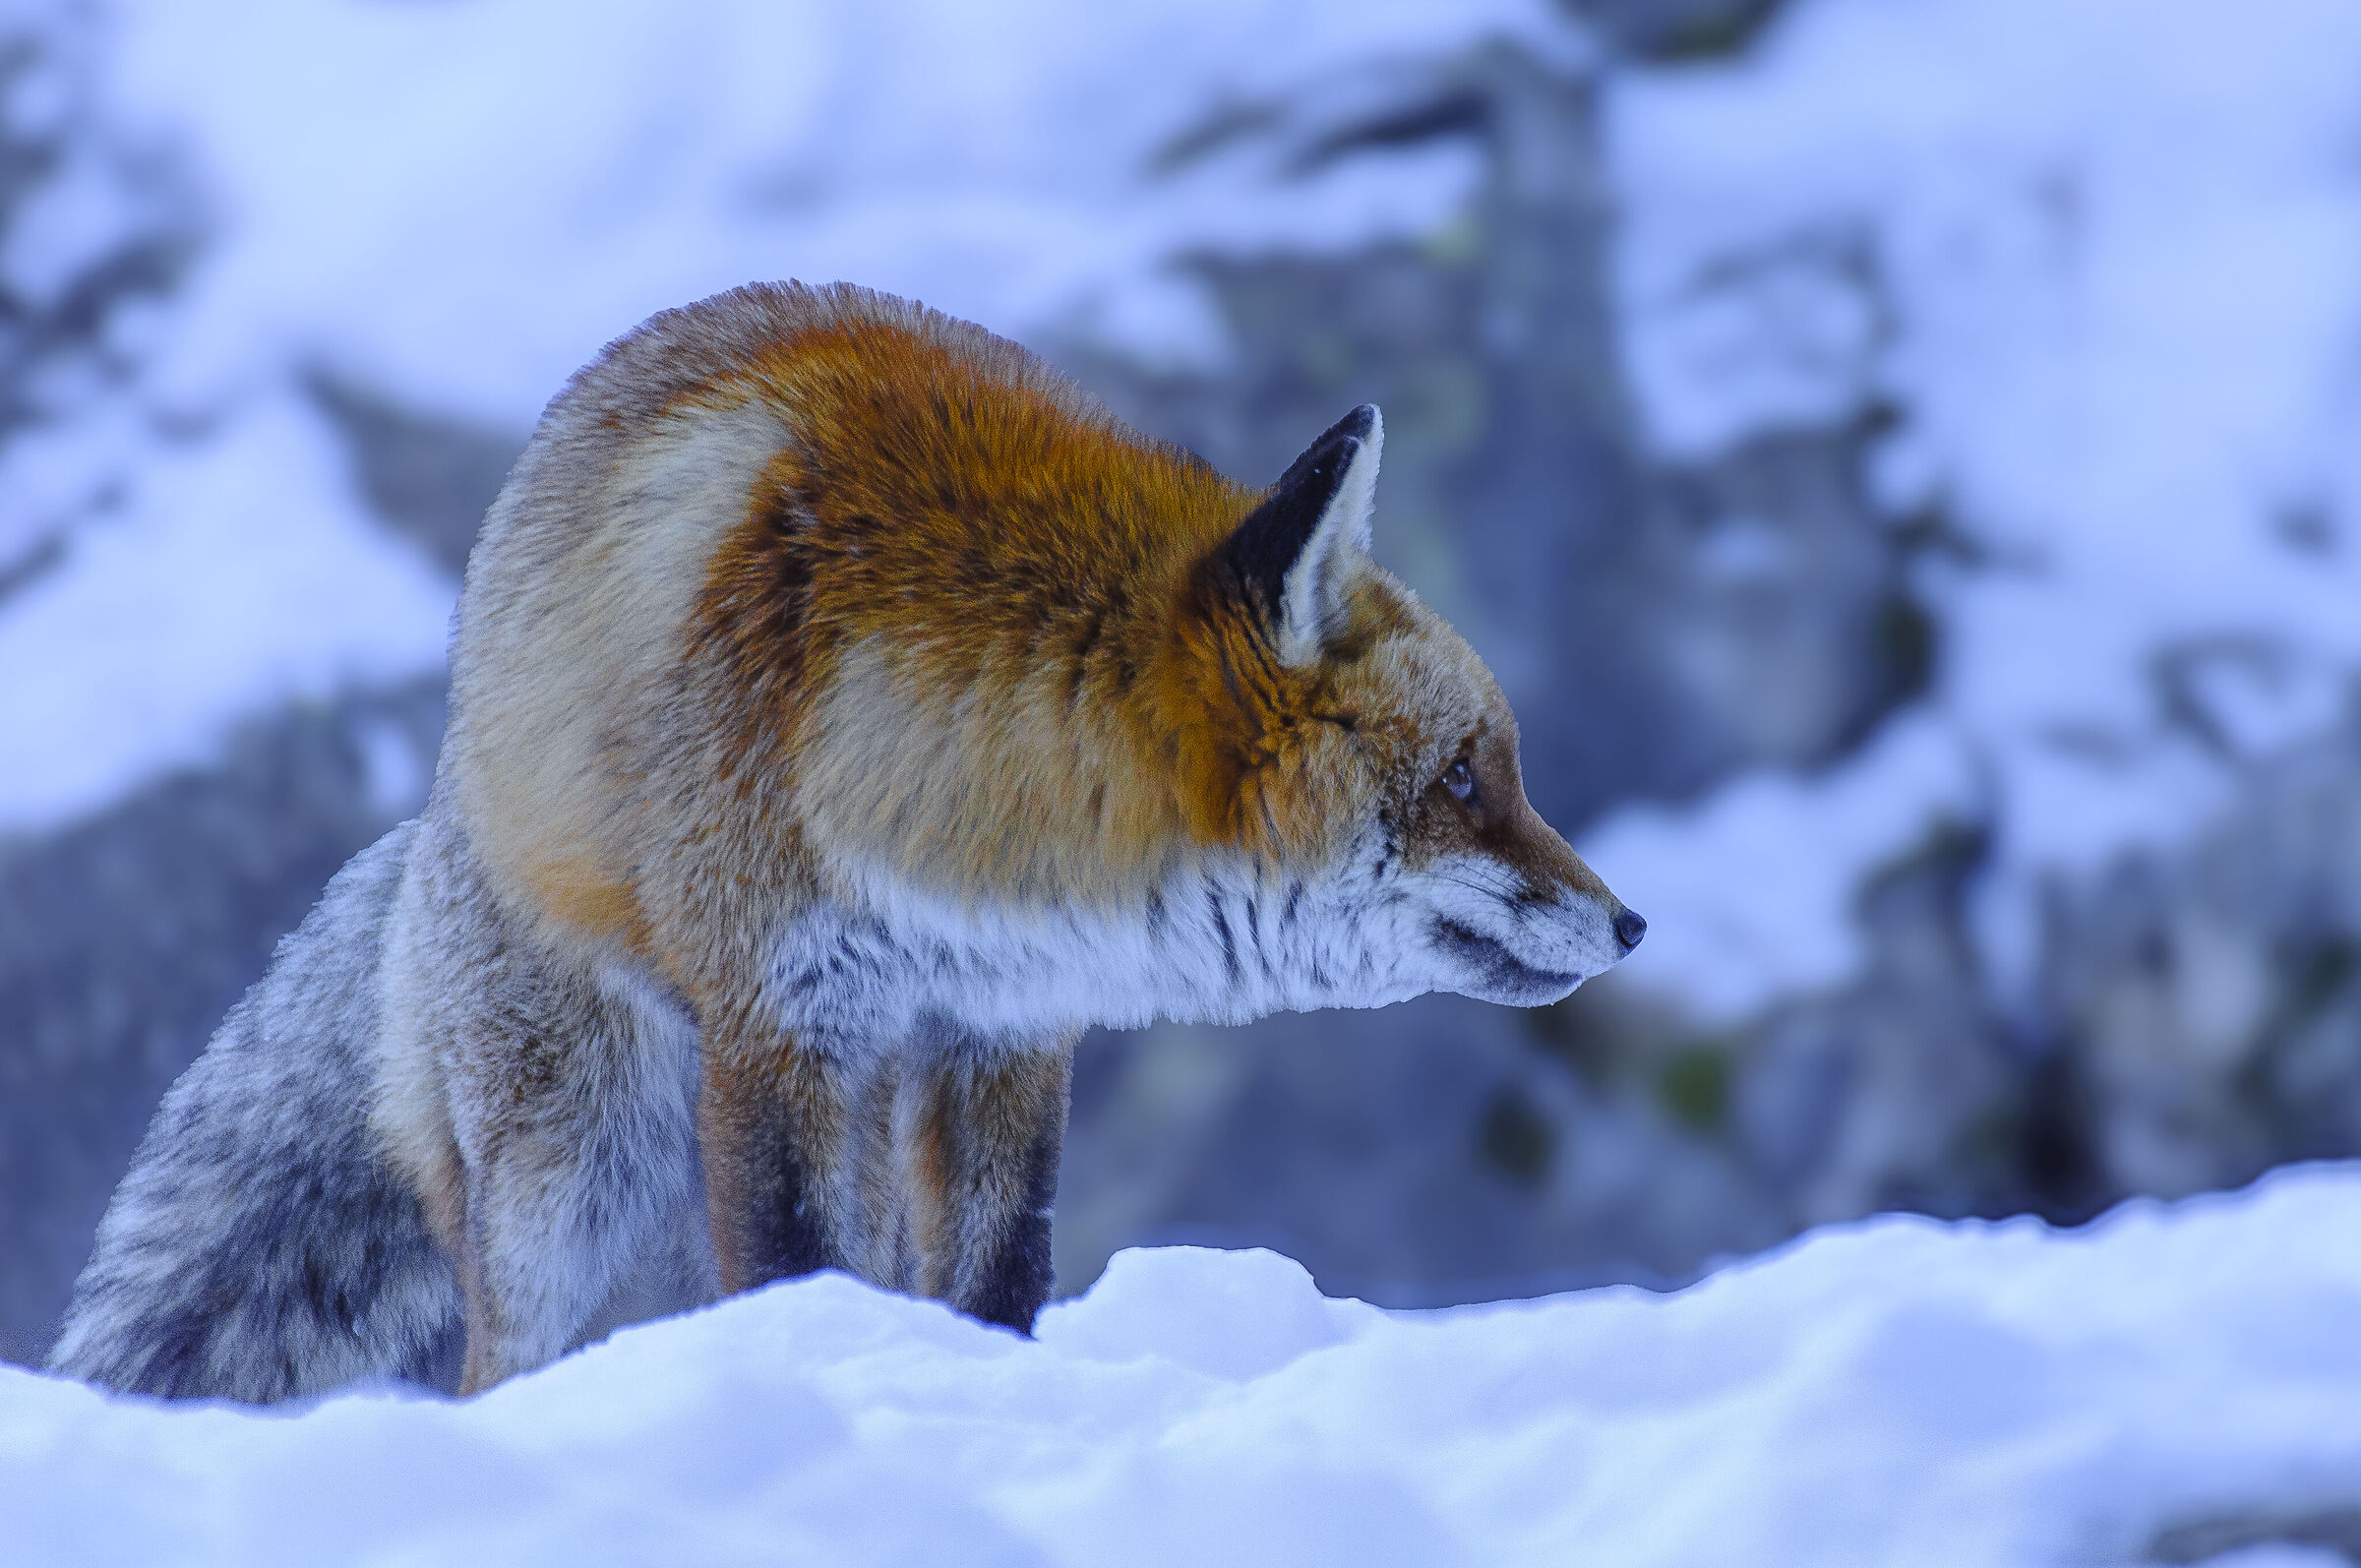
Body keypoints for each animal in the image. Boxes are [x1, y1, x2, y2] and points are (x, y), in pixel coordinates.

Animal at [48, 281, 1644, 1401]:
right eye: (1467, 777)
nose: (1632, 923)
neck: (953, 836)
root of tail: (439, 807)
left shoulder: (1005, 1031)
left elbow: (997, 1271)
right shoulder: (779, 1025)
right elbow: (789, 1273)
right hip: (576, 1171)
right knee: (508, 1360)